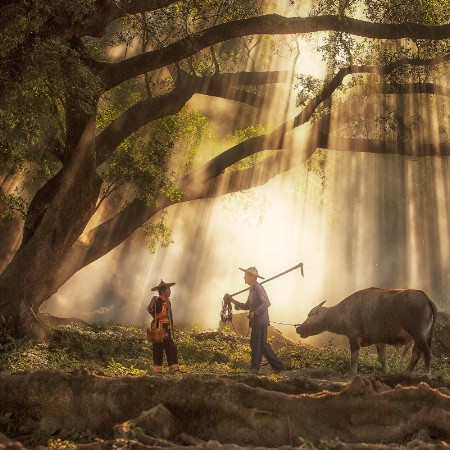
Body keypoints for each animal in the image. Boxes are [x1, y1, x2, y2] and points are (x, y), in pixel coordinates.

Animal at [296, 288, 436, 376]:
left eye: (309, 315)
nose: (298, 328)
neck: (343, 311)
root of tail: (426, 298)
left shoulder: (353, 336)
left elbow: (354, 356)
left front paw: (352, 373)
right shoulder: (379, 340)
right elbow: (382, 357)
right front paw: (386, 371)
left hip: (418, 333)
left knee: (426, 351)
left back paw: (427, 373)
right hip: (421, 335)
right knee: (417, 353)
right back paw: (407, 372)